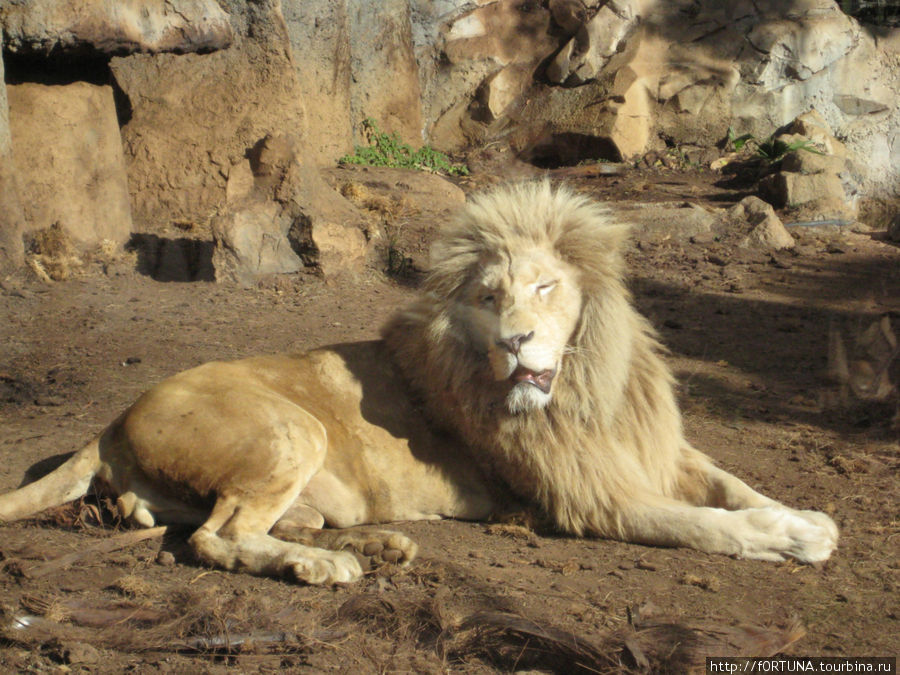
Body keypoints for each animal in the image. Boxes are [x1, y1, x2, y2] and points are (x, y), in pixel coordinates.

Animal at [0, 182, 836, 584]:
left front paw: (802, 514)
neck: (584, 384)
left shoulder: (652, 449)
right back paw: (327, 565)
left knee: (254, 524)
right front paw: (790, 536)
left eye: (544, 288)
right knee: (215, 536)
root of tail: (108, 423)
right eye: (490, 296)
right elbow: (708, 524)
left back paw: (377, 545)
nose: (515, 341)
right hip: (290, 427)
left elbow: (731, 483)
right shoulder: (591, 498)